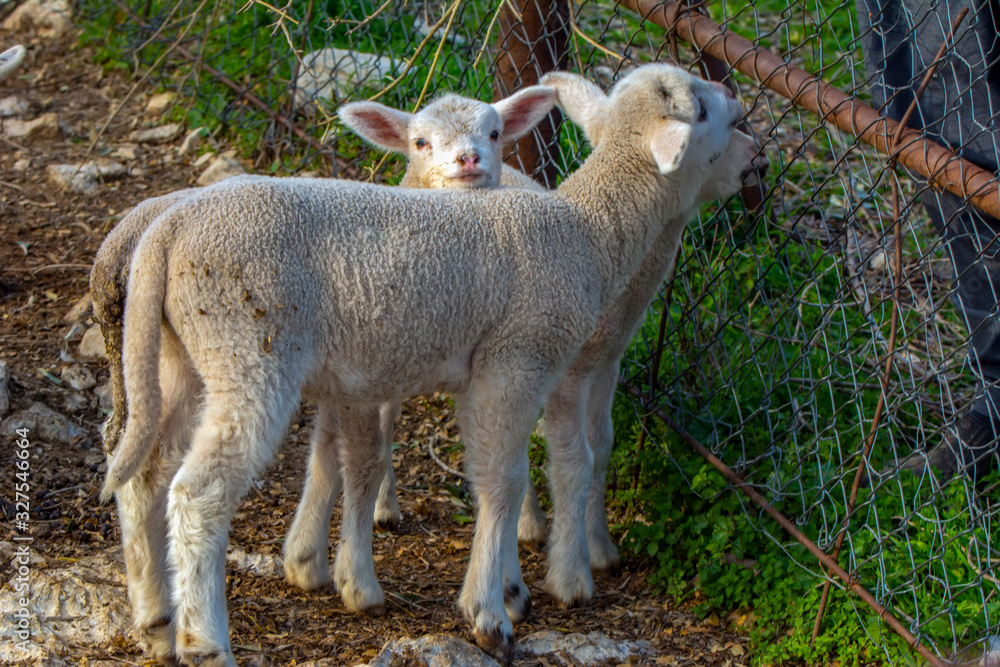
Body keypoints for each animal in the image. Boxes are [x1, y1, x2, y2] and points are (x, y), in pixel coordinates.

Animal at [104, 63, 744, 666]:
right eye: (703, 109)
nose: (742, 118)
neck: (587, 230)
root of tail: (168, 229)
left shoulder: (495, 372)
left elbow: (494, 473)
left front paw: (502, 589)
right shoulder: (518, 358)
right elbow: (507, 478)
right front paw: (490, 614)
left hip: (183, 356)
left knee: (143, 475)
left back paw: (155, 620)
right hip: (247, 347)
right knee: (198, 492)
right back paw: (205, 641)